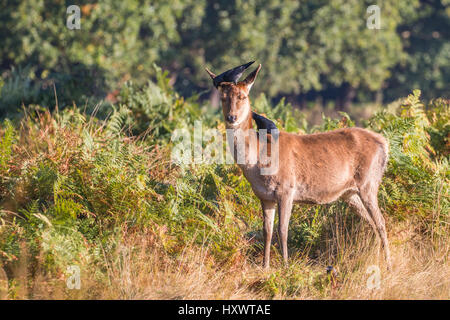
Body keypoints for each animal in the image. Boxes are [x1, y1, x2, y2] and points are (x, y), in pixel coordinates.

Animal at [206, 61, 392, 268]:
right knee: (371, 223)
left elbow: (283, 229)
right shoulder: (265, 196)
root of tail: (384, 144)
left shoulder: (287, 189)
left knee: (381, 222)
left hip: (369, 183)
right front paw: (265, 266)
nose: (231, 117)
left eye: (243, 96)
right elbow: (267, 231)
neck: (258, 161)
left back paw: (388, 265)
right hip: (350, 193)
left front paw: (286, 265)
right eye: (223, 97)